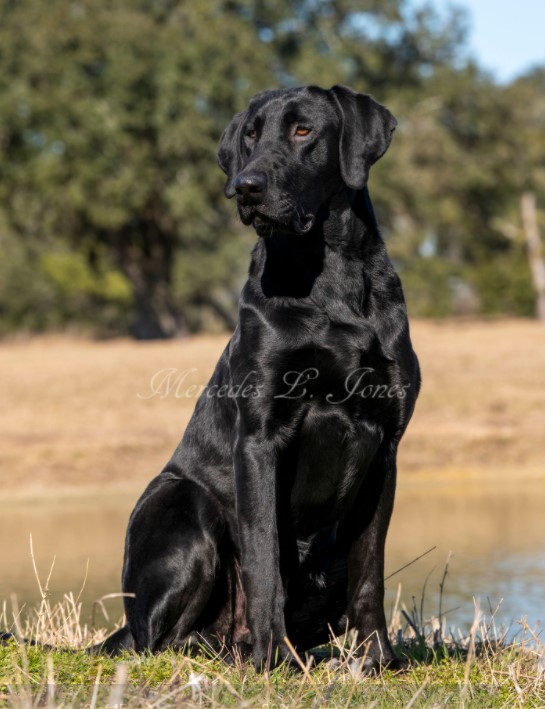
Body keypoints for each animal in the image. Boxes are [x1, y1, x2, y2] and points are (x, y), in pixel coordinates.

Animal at [99, 83, 420, 668]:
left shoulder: (385, 447)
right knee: (155, 640)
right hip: (182, 503)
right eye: (251, 135)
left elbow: (371, 572)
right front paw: (273, 661)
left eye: (303, 130)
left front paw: (377, 659)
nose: (245, 186)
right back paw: (242, 652)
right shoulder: (259, 439)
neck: (329, 276)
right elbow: (265, 560)